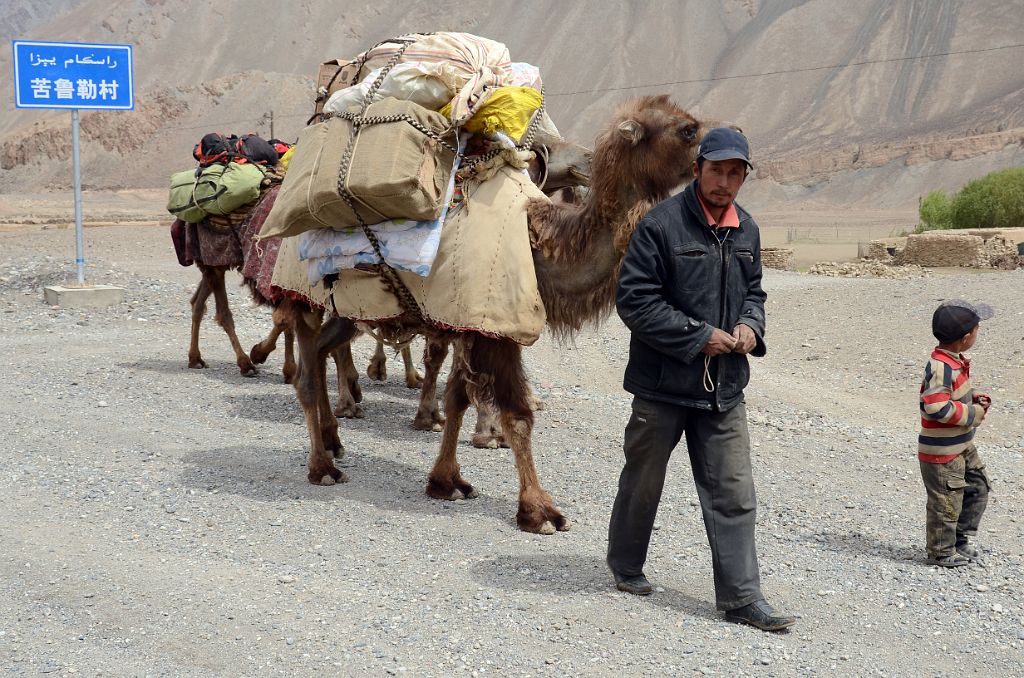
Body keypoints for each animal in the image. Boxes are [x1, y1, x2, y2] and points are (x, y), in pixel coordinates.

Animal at [288, 95, 712, 534]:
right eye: (687, 130)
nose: (588, 159)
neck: (539, 244)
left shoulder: (475, 324)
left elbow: (458, 397)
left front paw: (446, 481)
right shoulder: (494, 328)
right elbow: (518, 414)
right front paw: (539, 510)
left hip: (350, 310)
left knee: (319, 352)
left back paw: (334, 440)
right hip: (303, 294)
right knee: (306, 370)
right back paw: (321, 466)